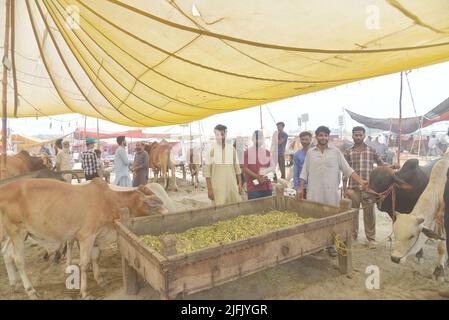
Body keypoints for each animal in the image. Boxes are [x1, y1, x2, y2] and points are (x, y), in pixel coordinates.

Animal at [0, 179, 166, 298]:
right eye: (155, 206)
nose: (166, 214)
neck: (108, 201)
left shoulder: (96, 237)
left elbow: (96, 258)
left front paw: (100, 280)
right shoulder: (86, 236)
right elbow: (84, 264)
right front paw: (85, 292)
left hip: (16, 235)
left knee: (7, 254)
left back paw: (14, 284)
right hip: (17, 232)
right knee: (18, 260)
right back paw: (31, 291)